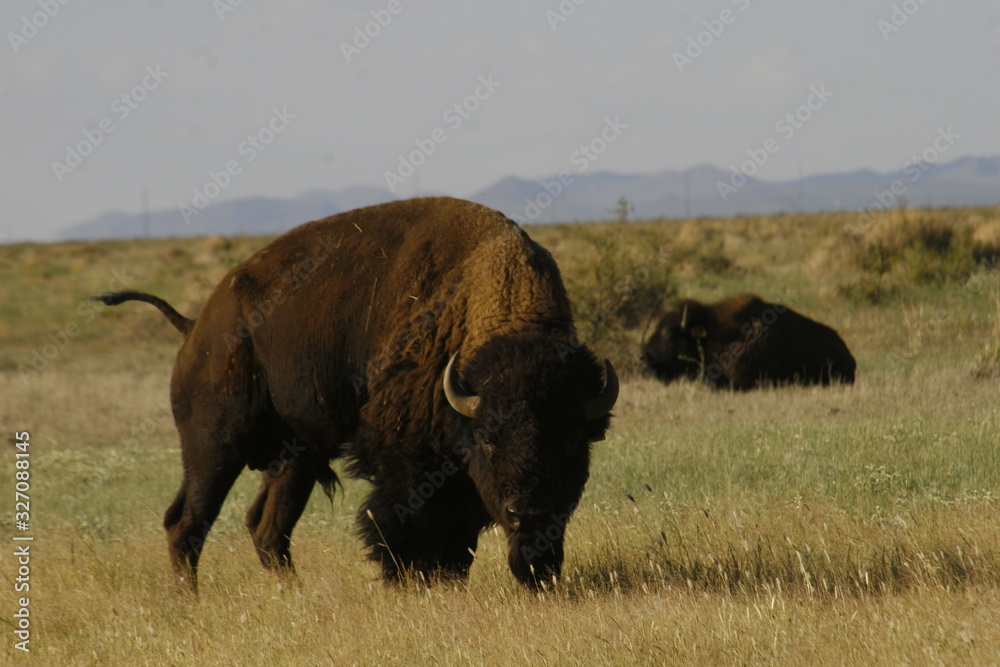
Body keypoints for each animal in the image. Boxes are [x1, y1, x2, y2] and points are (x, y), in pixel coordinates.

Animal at [97, 196, 620, 592]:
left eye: (570, 442)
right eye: (489, 440)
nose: (527, 513)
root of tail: (196, 326)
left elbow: (461, 536)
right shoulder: (411, 462)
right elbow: (405, 522)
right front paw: (410, 580)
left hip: (294, 458)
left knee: (266, 527)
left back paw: (293, 593)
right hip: (214, 447)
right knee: (187, 522)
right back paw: (189, 601)